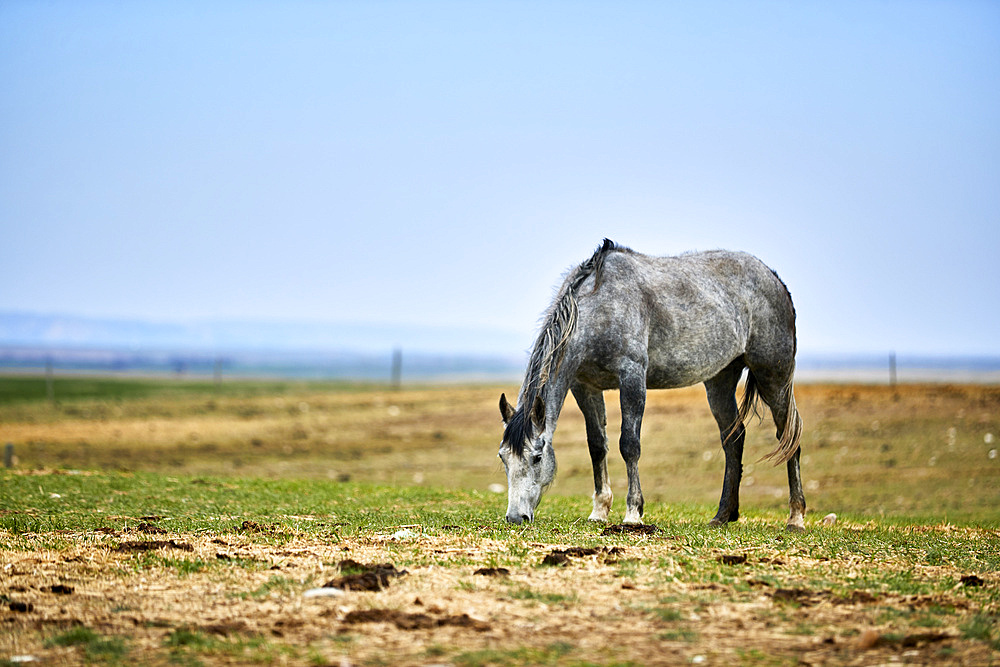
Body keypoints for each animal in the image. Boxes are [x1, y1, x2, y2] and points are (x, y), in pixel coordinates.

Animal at [500, 240, 804, 532]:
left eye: (537, 457)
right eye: (503, 458)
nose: (515, 517)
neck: (599, 307)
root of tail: (774, 279)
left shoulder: (632, 377)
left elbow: (629, 445)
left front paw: (633, 513)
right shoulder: (584, 386)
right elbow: (597, 445)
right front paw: (599, 511)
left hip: (773, 377)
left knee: (788, 437)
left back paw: (796, 518)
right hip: (720, 380)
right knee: (733, 438)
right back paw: (722, 516)